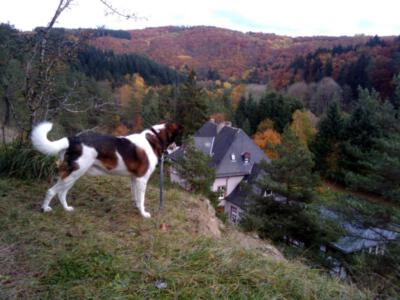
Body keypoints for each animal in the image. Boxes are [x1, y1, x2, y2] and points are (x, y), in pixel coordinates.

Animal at [30, 122, 183, 218]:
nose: (181, 146)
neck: (154, 138)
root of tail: (73, 139)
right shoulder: (142, 180)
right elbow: (142, 199)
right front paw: (143, 214)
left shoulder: (134, 179)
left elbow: (136, 198)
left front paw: (137, 207)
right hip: (73, 174)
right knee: (51, 191)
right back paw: (45, 209)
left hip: (73, 175)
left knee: (62, 193)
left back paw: (66, 209)